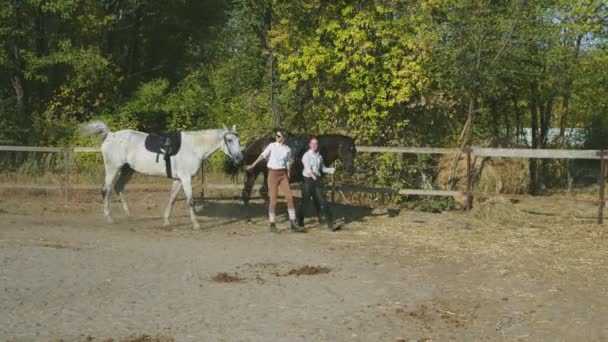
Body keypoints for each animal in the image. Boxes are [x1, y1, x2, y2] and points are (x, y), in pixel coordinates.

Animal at [80, 120, 242, 230]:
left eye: (238, 139)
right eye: (229, 140)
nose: (240, 158)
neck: (194, 147)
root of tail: (109, 135)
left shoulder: (178, 179)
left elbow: (172, 199)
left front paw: (166, 221)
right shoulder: (186, 178)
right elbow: (190, 201)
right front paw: (196, 225)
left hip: (127, 170)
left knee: (118, 188)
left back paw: (129, 216)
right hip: (112, 169)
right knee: (106, 190)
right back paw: (109, 218)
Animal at [224, 132, 356, 223]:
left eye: (353, 151)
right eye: (345, 149)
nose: (350, 169)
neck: (316, 152)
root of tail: (249, 147)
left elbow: (317, 198)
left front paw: (320, 219)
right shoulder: (306, 180)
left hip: (258, 174)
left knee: (253, 192)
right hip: (256, 173)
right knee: (253, 193)